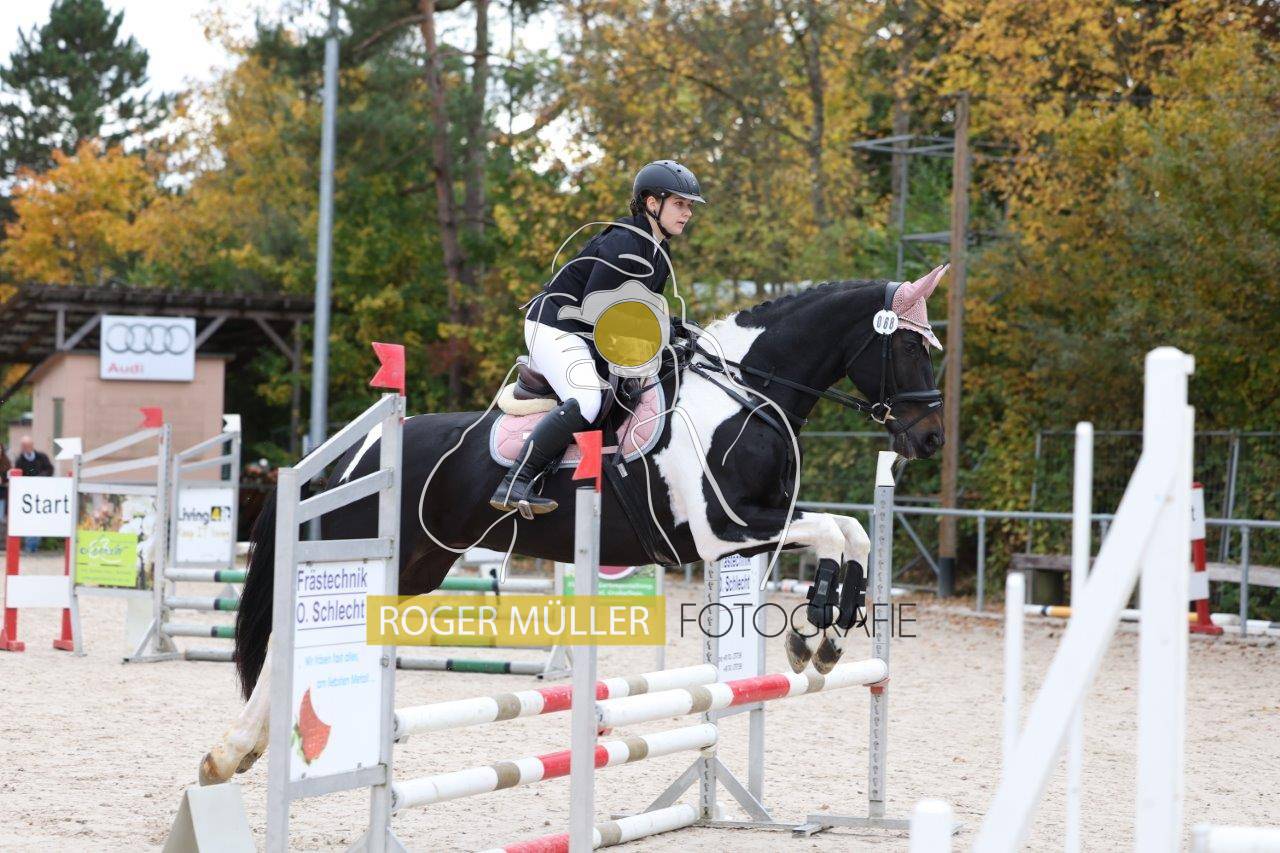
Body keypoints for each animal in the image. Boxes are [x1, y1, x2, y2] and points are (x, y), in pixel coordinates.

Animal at [198, 269, 946, 785]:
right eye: (913, 351)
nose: (931, 438)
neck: (743, 395)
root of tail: (351, 455)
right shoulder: (722, 532)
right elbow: (835, 533)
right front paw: (815, 633)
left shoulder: (756, 527)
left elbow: (853, 535)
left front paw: (824, 635)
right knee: (287, 636)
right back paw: (230, 753)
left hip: (417, 565)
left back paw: (245, 750)